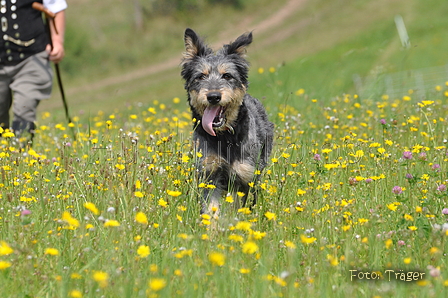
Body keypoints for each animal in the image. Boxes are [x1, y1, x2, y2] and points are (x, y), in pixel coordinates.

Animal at [181, 28, 272, 214]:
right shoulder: (209, 174)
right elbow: (211, 208)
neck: (224, 137)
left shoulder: (244, 175)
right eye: (200, 76)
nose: (213, 96)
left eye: (227, 75)